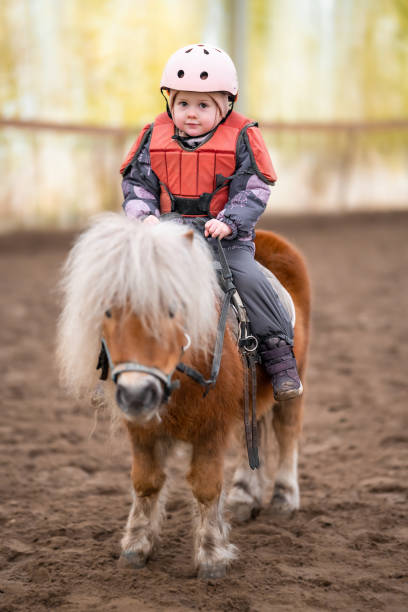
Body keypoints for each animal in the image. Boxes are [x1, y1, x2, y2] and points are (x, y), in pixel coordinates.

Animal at [56, 214, 310, 580]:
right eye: (108, 311)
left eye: (173, 309)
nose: (137, 394)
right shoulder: (142, 430)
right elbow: (145, 482)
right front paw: (136, 546)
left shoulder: (211, 427)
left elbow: (206, 487)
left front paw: (212, 556)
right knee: (252, 433)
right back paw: (243, 496)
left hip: (295, 379)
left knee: (287, 432)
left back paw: (284, 499)